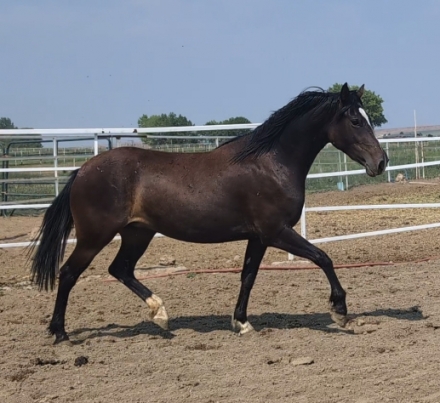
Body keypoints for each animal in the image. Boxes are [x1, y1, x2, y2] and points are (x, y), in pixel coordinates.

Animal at [30, 83, 388, 344]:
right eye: (355, 120)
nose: (381, 162)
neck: (272, 163)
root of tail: (82, 170)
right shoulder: (276, 231)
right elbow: (322, 257)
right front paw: (340, 310)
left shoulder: (259, 237)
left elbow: (248, 276)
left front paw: (242, 323)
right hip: (95, 236)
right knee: (69, 274)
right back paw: (61, 333)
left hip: (137, 233)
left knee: (120, 269)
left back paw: (160, 314)